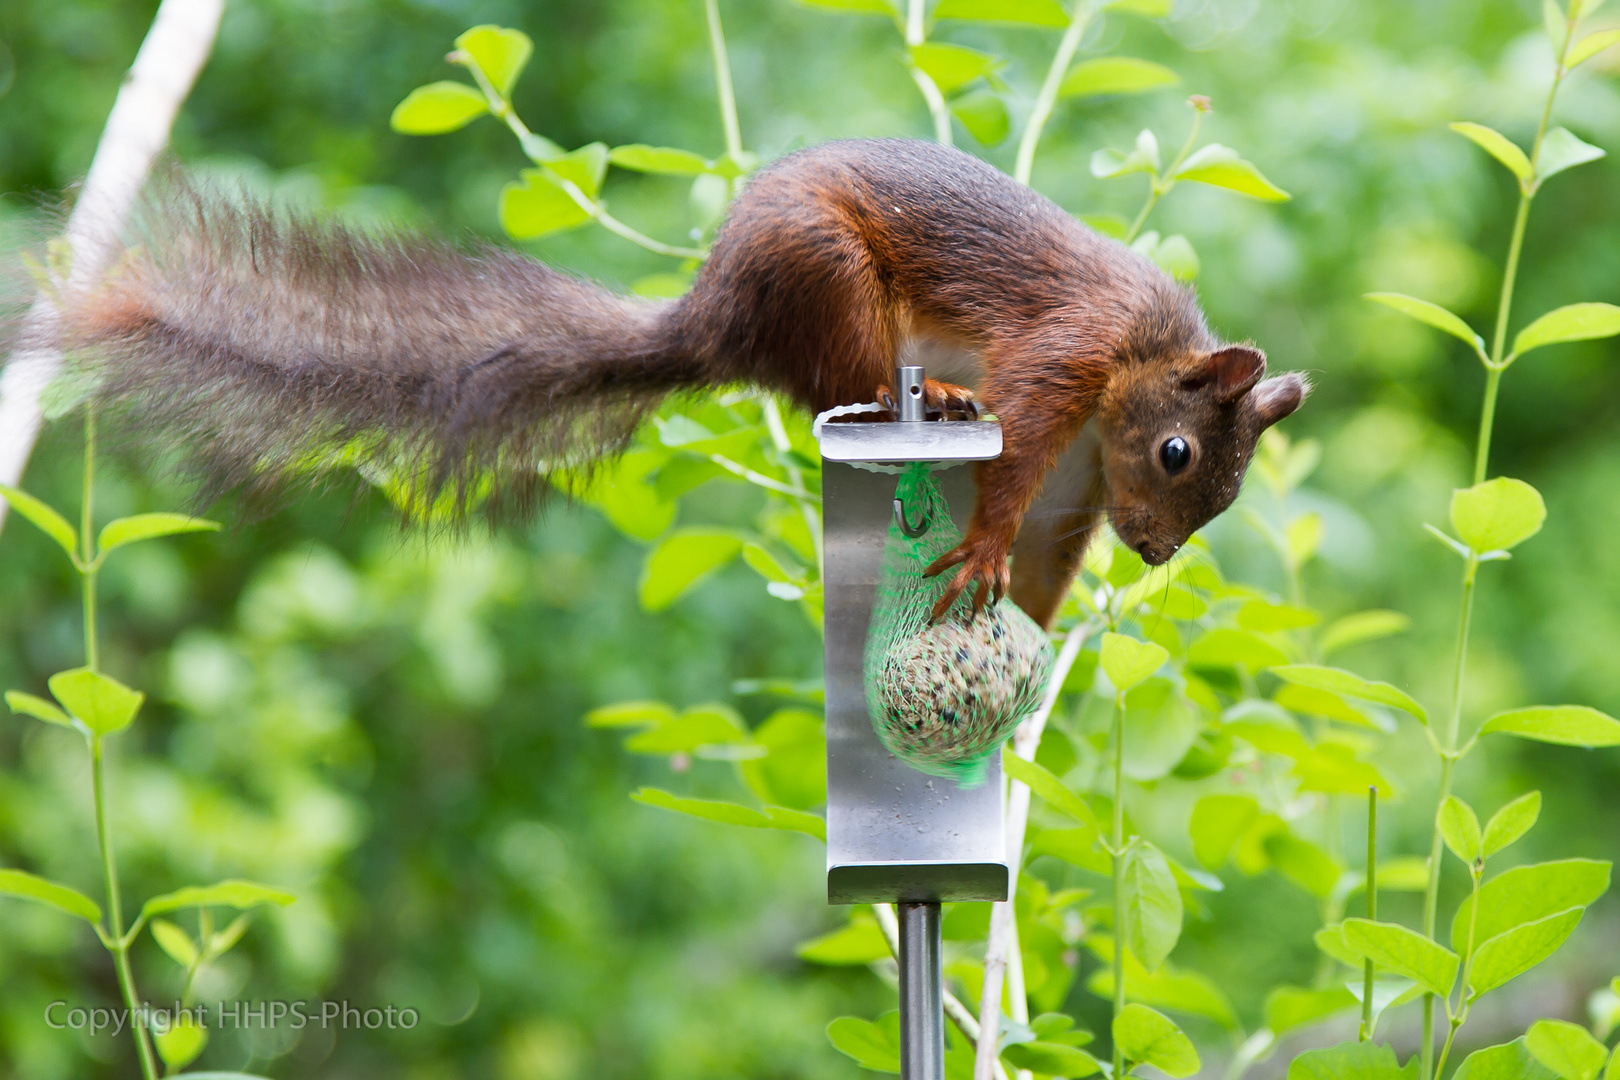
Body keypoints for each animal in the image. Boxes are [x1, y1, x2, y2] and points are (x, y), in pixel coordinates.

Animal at [50, 137, 1308, 625]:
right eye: (1178, 454)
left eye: (1223, 493)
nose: (1156, 553)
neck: (1143, 353)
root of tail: (717, 316)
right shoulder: (1066, 353)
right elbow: (1018, 464)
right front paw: (986, 550)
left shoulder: (1085, 472)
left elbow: (1050, 540)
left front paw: (1028, 642)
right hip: (829, 277)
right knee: (838, 386)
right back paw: (939, 401)